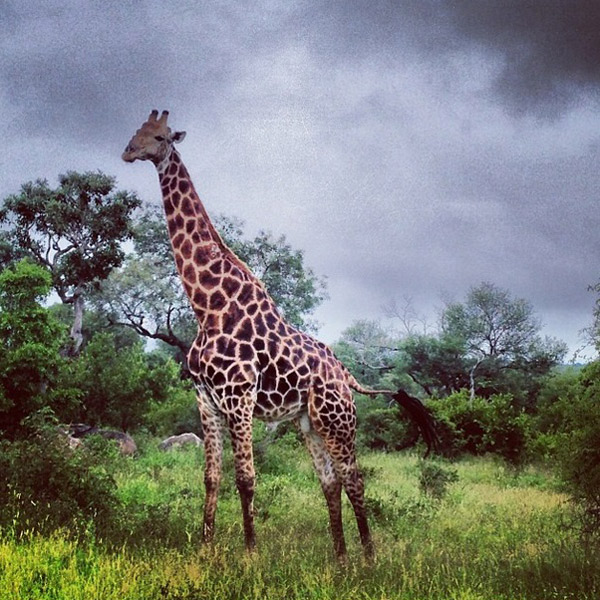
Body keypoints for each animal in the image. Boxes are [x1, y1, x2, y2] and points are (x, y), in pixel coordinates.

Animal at [123, 110, 436, 560]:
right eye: (137, 132)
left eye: (161, 136)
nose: (129, 151)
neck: (208, 306)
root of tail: (346, 375)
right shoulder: (206, 400)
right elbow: (211, 477)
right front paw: (205, 550)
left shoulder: (238, 398)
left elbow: (246, 478)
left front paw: (251, 554)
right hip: (310, 423)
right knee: (330, 481)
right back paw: (340, 558)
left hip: (339, 420)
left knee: (354, 479)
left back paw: (369, 557)